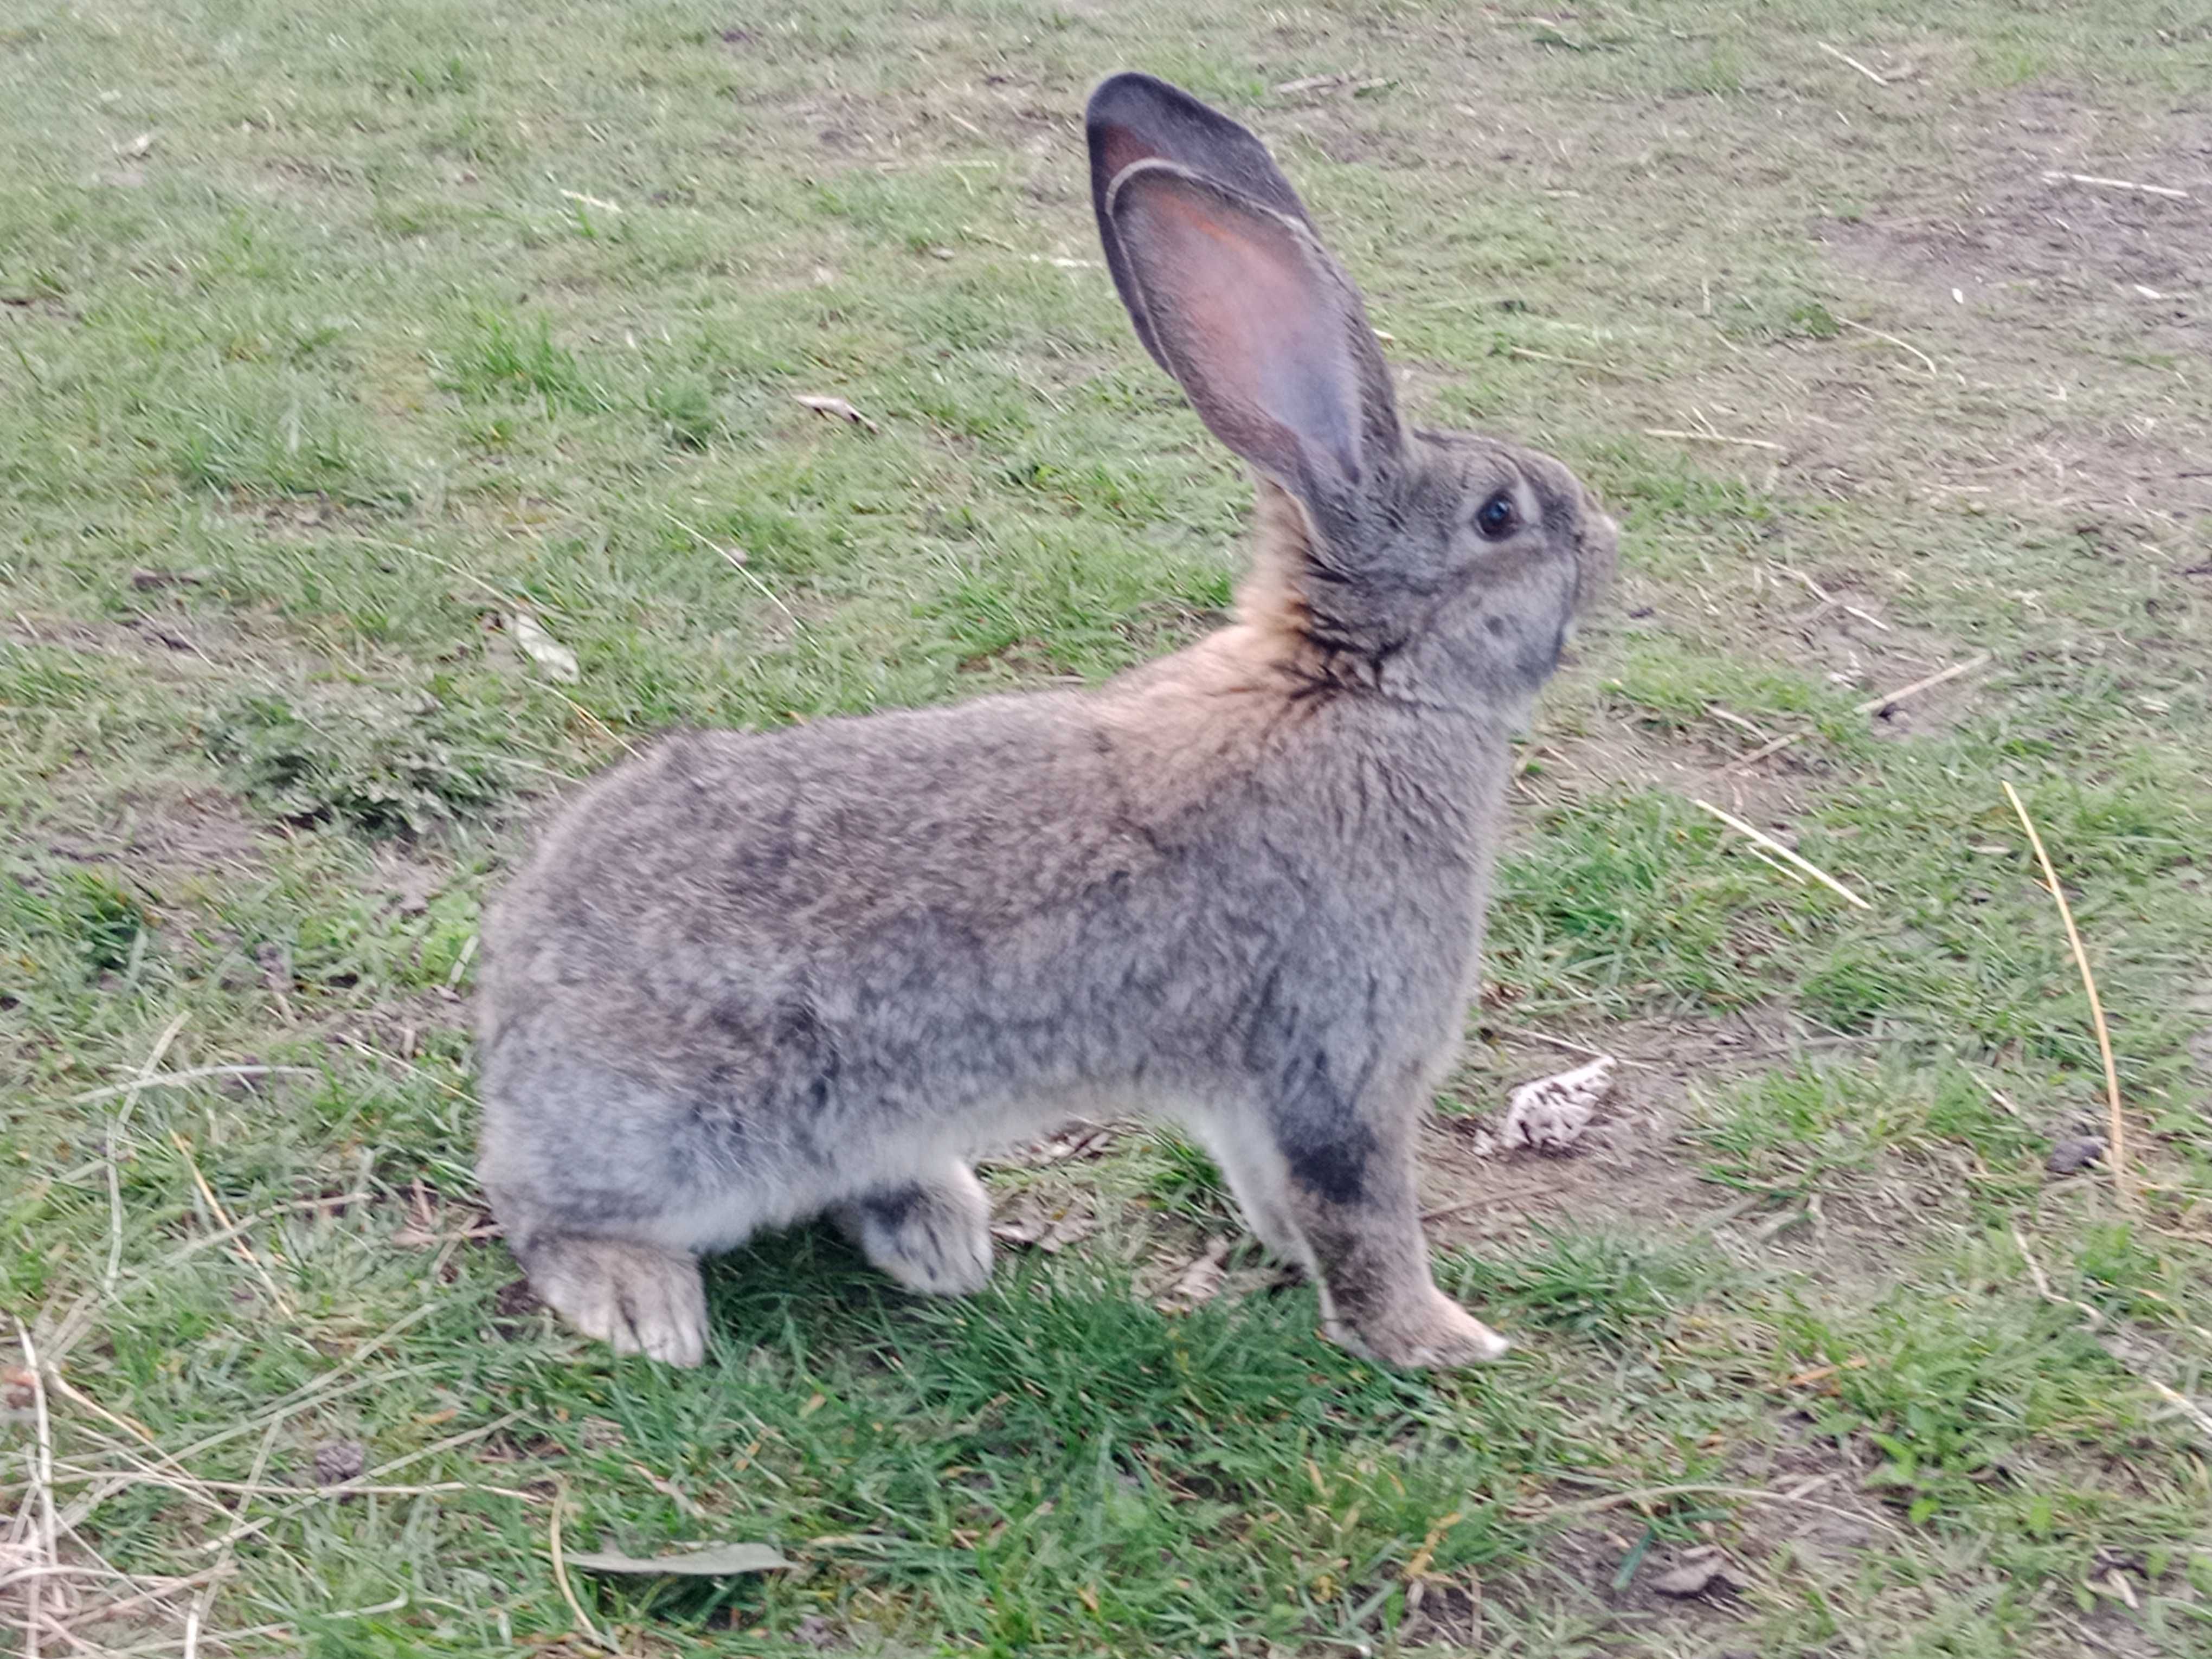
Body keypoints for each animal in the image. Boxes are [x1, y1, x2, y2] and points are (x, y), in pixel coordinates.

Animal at [480, 71, 1628, 1380]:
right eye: (1501, 516)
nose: (1605, 542)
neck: (1359, 688)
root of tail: (510, 1016)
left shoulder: (1260, 1087)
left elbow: (1276, 1189)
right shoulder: (1343, 1054)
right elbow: (1362, 1216)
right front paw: (1442, 1342)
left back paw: (936, 1230)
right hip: (680, 1136)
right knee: (544, 1214)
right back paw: (642, 1300)